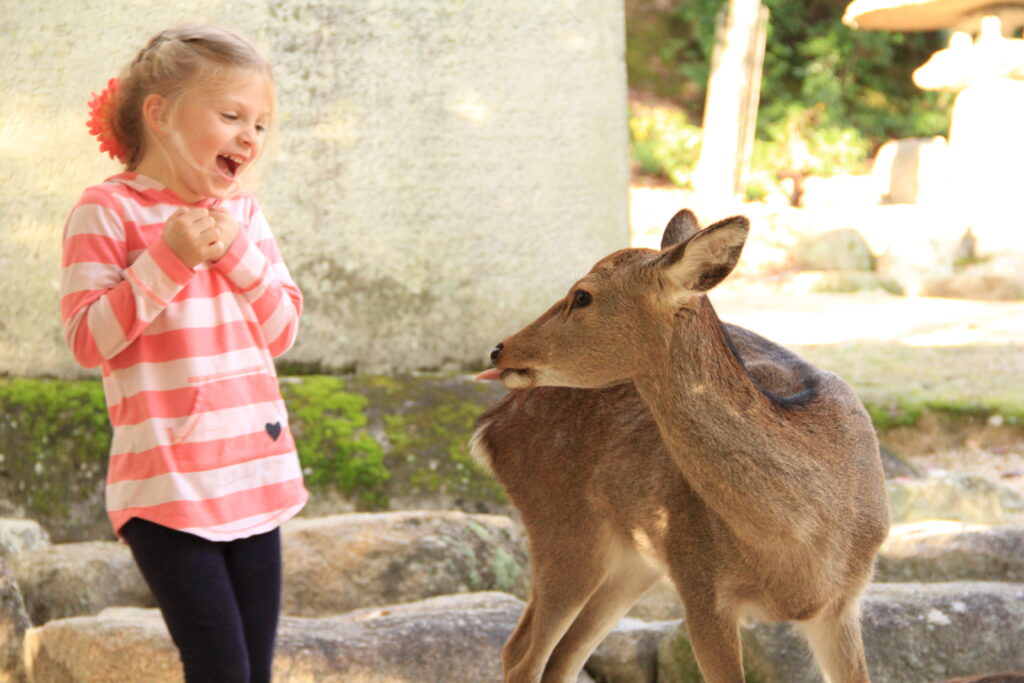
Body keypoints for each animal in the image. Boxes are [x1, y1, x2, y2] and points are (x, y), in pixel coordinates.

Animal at [471, 209, 888, 683]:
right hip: (561, 527)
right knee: (523, 654)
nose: (499, 350)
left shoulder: (843, 602)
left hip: (632, 561)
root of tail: (490, 427)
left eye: (582, 295)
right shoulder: (701, 587)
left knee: (558, 657)